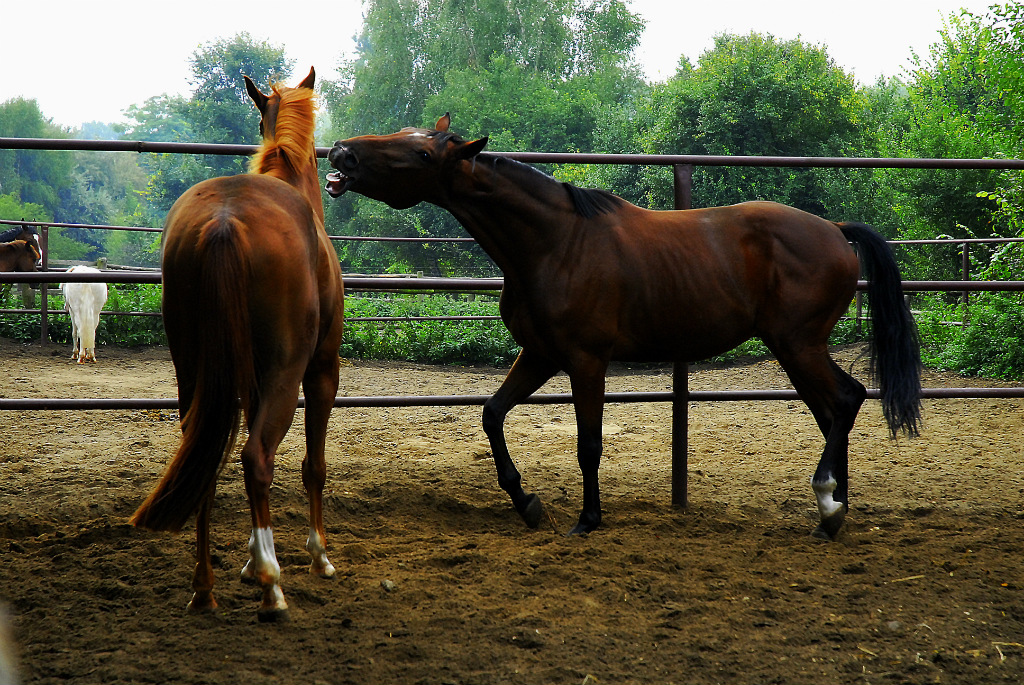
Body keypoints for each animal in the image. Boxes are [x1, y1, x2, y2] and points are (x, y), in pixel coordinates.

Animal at [132, 68, 346, 618]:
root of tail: (225, 221)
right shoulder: (322, 371)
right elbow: (314, 465)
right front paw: (316, 555)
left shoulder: (248, 378)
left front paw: (248, 560)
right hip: (288, 373)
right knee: (256, 458)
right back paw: (272, 584)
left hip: (194, 372)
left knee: (204, 456)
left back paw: (204, 587)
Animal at [327, 113, 921, 540]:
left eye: (423, 153)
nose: (341, 154)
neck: (555, 243)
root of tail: (835, 231)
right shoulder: (539, 354)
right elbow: (492, 414)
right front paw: (528, 505)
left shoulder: (586, 361)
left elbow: (589, 443)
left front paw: (587, 520)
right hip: (794, 348)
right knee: (835, 410)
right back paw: (833, 512)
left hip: (797, 345)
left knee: (843, 402)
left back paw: (829, 503)